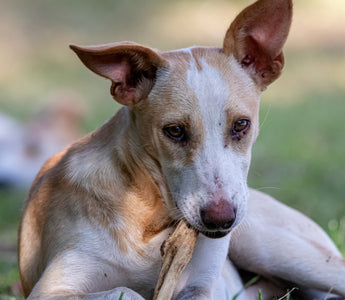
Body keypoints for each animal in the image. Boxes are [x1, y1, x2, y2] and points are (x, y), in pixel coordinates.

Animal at [18, 0, 344, 298]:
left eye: (241, 124)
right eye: (175, 131)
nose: (220, 219)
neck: (148, 214)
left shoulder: (203, 286)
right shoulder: (52, 289)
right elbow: (126, 291)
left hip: (268, 245)